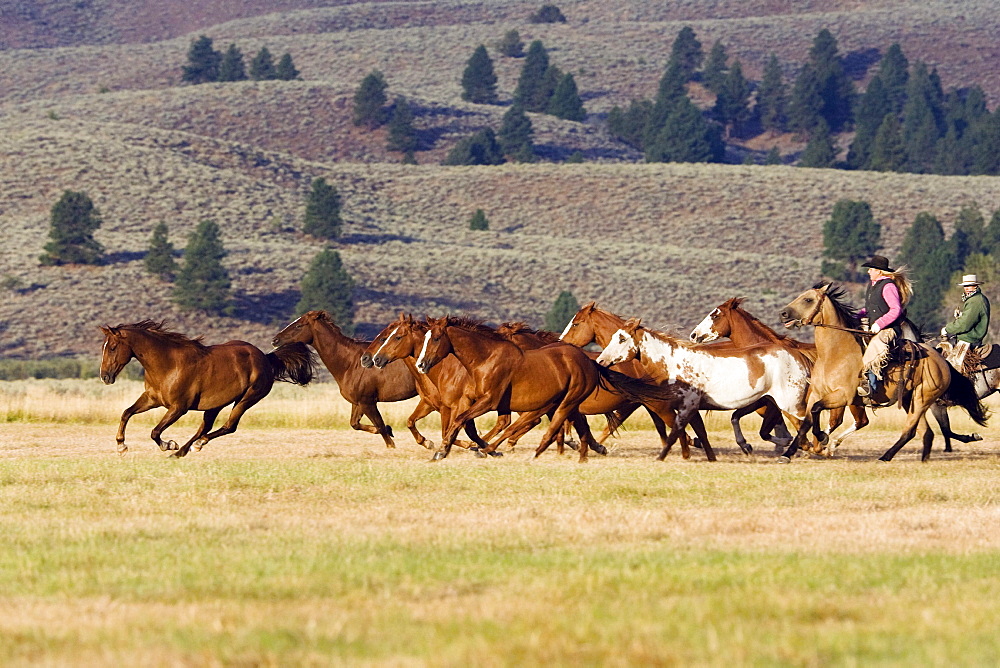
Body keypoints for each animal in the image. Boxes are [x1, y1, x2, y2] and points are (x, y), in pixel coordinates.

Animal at [101, 320, 312, 456]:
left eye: (112, 347)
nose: (105, 376)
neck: (168, 365)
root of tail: (267, 359)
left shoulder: (178, 408)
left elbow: (155, 431)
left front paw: (169, 445)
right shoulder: (152, 399)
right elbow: (126, 413)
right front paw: (121, 447)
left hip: (247, 399)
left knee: (228, 426)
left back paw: (191, 447)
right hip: (216, 404)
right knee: (206, 426)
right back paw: (184, 451)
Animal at [270, 314, 418, 448]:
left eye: (299, 325)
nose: (275, 340)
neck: (352, 363)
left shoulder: (368, 402)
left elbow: (380, 426)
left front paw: (391, 444)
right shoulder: (358, 403)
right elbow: (355, 424)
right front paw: (389, 429)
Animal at [588, 318, 808, 462]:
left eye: (622, 339)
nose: (601, 361)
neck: (675, 365)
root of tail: (798, 356)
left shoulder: (686, 406)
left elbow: (675, 432)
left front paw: (660, 457)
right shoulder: (691, 409)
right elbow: (700, 432)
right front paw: (711, 458)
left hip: (791, 404)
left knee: (805, 424)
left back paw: (796, 452)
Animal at [692, 300, 872, 456]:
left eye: (715, 315)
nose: (694, 335)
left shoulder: (775, 405)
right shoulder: (764, 402)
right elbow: (741, 420)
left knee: (850, 421)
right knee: (853, 421)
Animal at [776, 280, 988, 460]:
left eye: (808, 299)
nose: (783, 313)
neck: (835, 353)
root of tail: (942, 361)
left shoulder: (842, 396)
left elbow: (817, 410)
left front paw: (822, 437)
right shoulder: (817, 393)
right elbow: (807, 421)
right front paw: (789, 453)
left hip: (922, 399)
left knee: (910, 431)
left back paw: (885, 456)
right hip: (911, 400)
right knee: (925, 432)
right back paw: (922, 459)